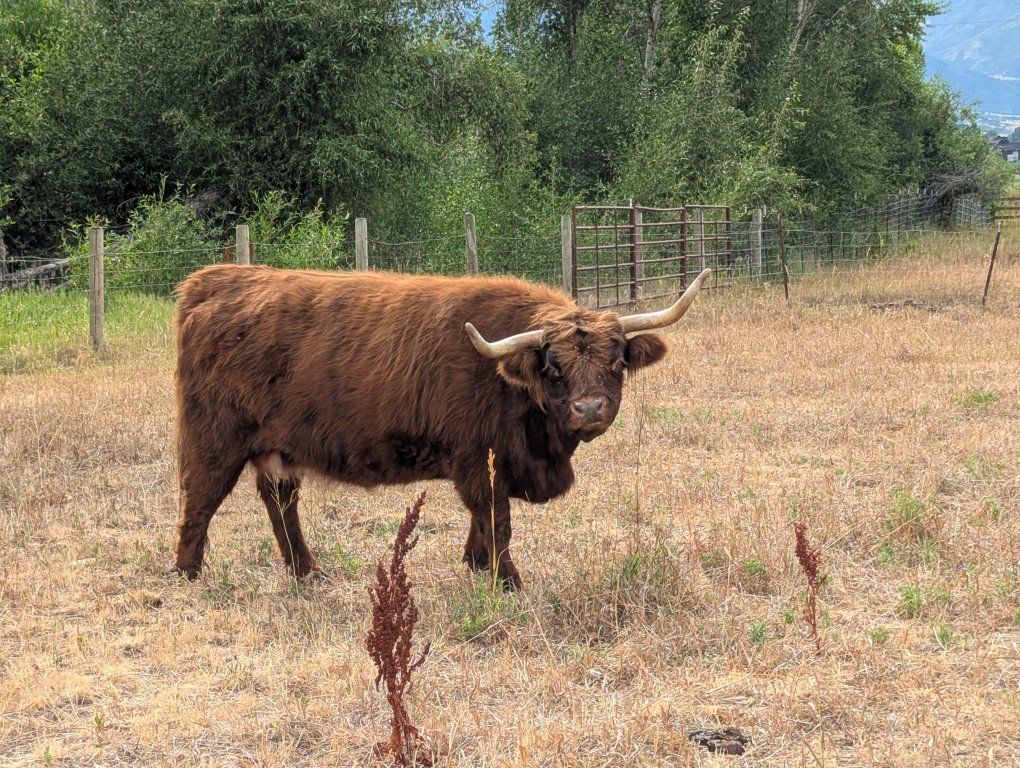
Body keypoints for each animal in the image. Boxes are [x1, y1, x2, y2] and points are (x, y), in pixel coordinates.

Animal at [173, 265, 710, 589]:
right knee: (200, 500)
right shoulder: (477, 459)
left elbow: (482, 523)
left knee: (281, 503)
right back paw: (187, 573)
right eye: (552, 367)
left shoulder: (492, 463)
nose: (590, 408)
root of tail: (217, 280)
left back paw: (308, 573)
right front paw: (507, 582)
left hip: (277, 449)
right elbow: (497, 520)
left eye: (617, 362)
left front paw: (475, 566)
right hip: (215, 438)